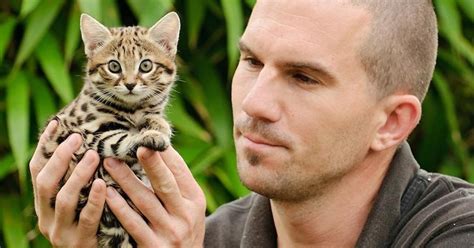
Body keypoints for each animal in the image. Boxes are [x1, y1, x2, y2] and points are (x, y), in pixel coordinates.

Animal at [40, 12, 181, 248]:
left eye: (146, 66)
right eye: (114, 66)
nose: (130, 84)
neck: (133, 109)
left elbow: (154, 118)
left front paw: (158, 126)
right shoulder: (88, 133)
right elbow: (120, 140)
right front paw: (151, 137)